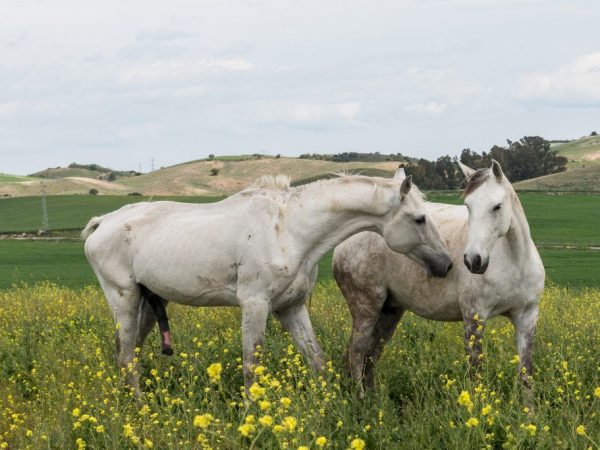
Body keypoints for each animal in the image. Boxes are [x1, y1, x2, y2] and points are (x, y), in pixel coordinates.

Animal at [83, 172, 450, 394]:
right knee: (126, 357)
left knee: (130, 355)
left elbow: (316, 360)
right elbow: (252, 367)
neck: (289, 230)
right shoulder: (255, 305)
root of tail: (103, 222)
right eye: (420, 218)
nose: (446, 264)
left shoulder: (291, 308)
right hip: (125, 300)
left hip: (147, 304)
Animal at [336, 161, 548, 398]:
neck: (514, 262)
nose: (473, 260)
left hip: (389, 312)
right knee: (355, 354)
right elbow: (475, 374)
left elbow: (526, 375)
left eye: (497, 206)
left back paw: (375, 401)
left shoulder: (527, 317)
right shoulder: (474, 317)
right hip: (366, 310)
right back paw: (362, 401)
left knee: (370, 355)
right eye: (468, 206)